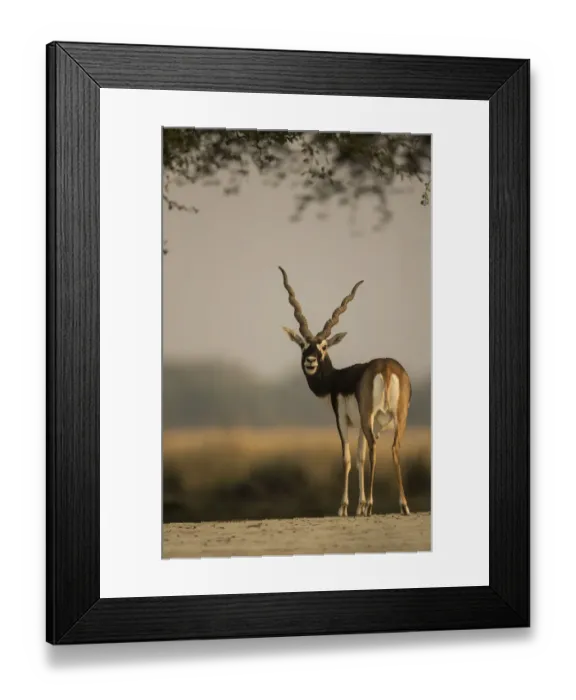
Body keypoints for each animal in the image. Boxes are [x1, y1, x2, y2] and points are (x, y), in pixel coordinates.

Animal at [278, 266, 412, 518]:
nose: (310, 361)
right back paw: (403, 505)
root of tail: (386, 367)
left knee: (375, 448)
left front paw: (344, 507)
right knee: (394, 448)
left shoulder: (342, 419)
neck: (337, 379)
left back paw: (372, 506)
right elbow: (360, 458)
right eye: (303, 346)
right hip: (399, 417)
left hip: (371, 416)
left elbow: (348, 458)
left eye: (323, 346)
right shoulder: (361, 425)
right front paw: (358, 506)